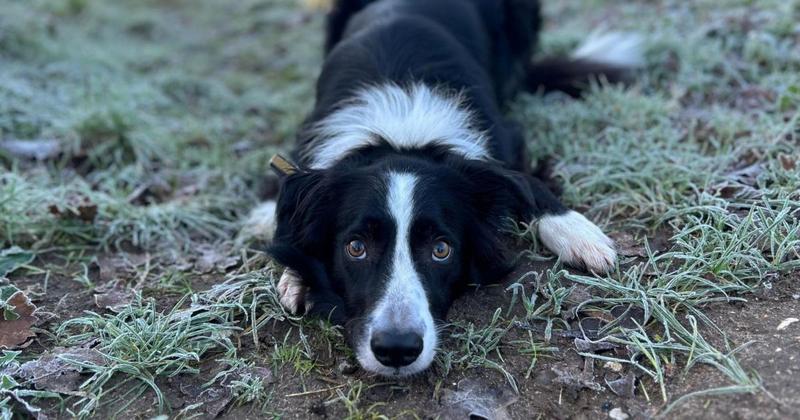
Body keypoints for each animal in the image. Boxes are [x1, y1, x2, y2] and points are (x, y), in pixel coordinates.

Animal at [266, 0, 640, 376]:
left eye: (441, 250)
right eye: (355, 248)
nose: (397, 349)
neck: (401, 137)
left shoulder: (505, 137)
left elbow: (524, 180)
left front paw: (575, 231)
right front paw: (294, 273)